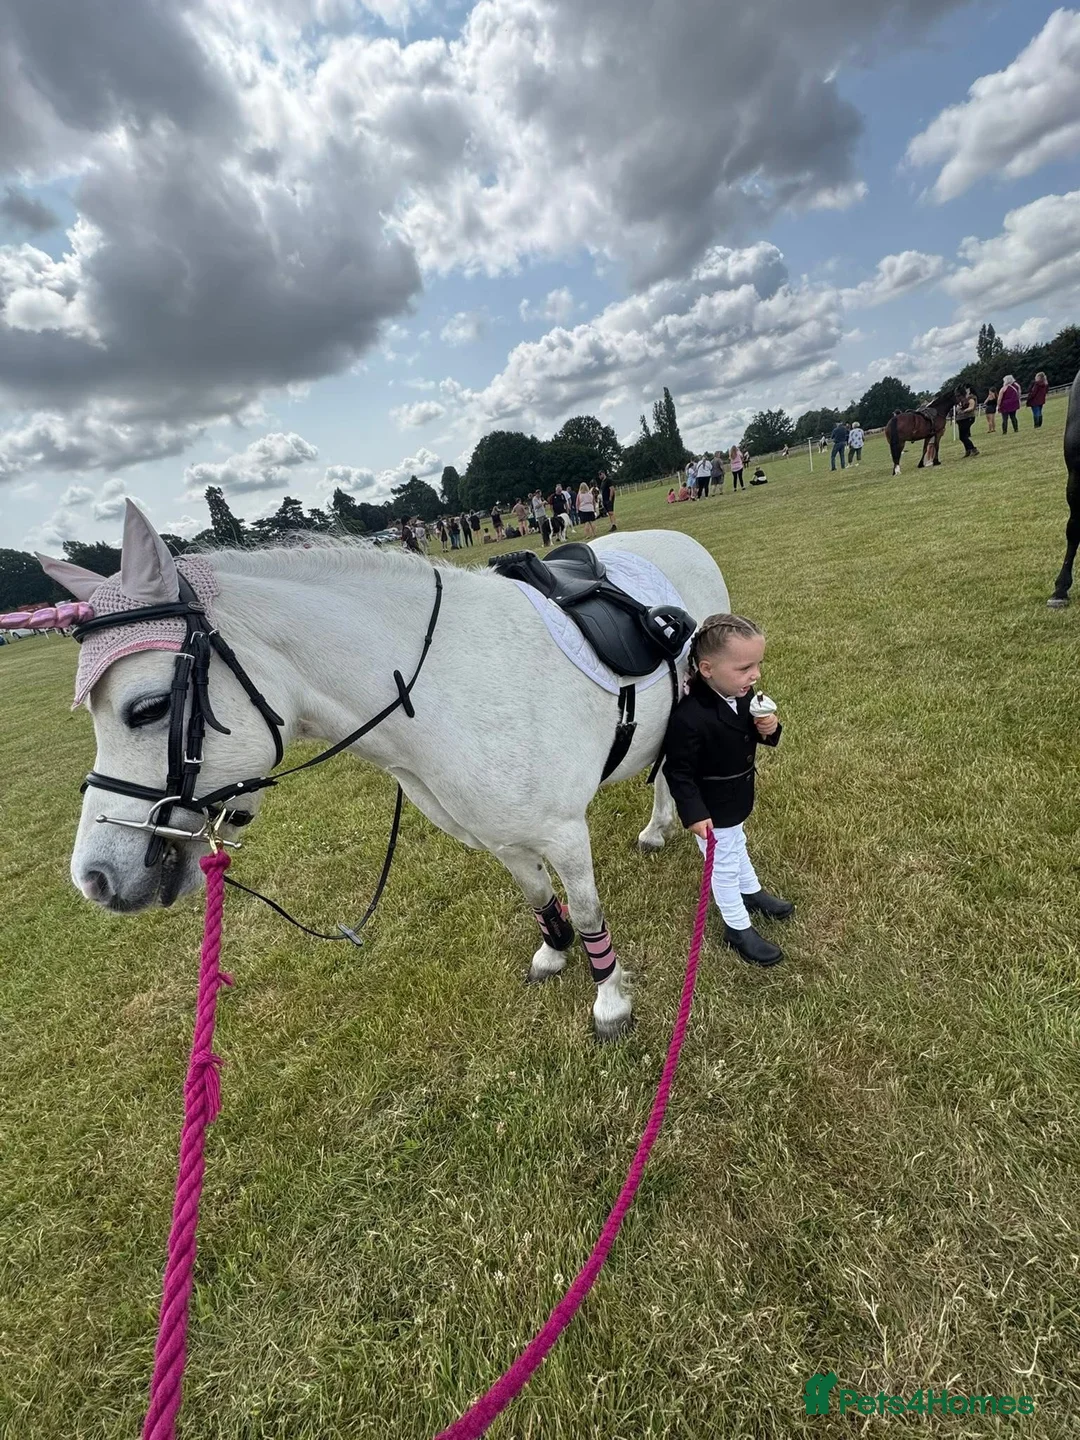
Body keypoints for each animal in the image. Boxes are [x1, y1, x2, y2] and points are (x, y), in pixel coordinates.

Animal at [36, 502, 730, 1040]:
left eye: (147, 708)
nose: (96, 878)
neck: (445, 683)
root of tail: (678, 539)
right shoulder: (502, 835)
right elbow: (540, 898)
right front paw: (553, 954)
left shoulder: (562, 832)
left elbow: (586, 911)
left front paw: (610, 1000)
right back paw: (659, 829)